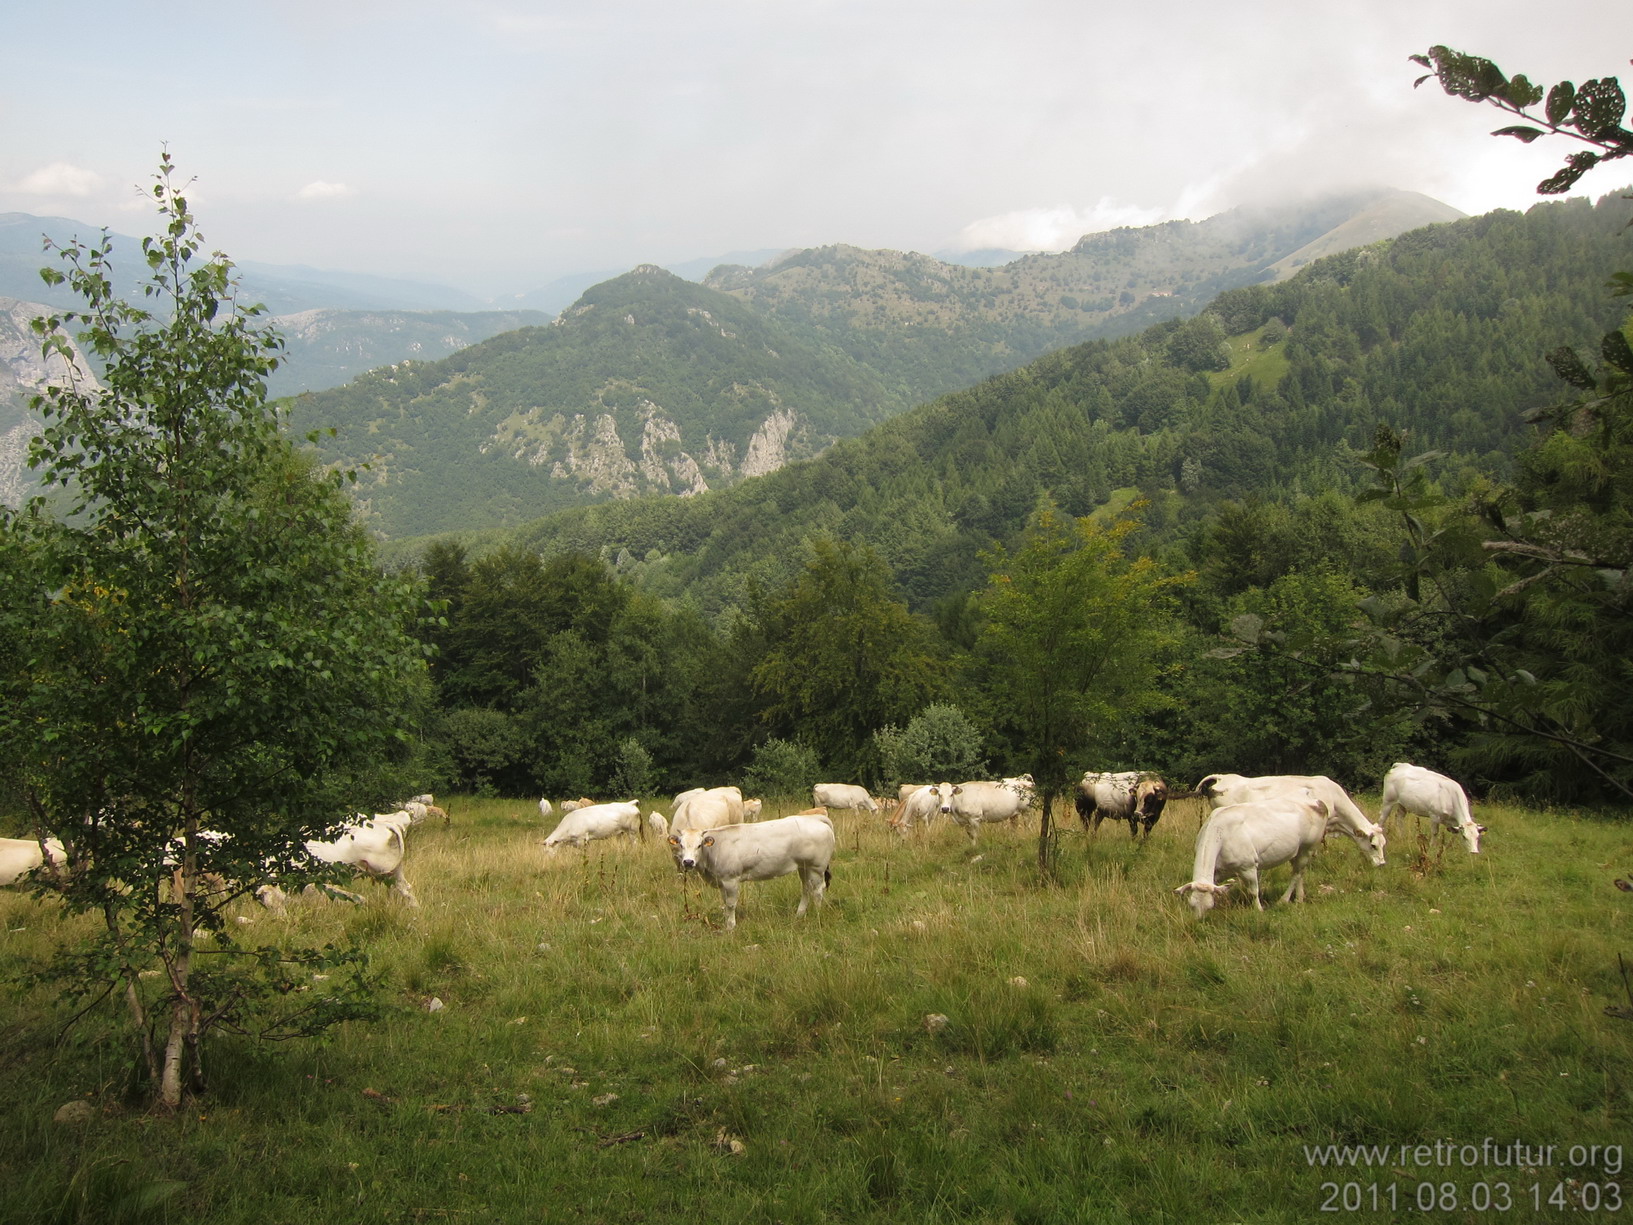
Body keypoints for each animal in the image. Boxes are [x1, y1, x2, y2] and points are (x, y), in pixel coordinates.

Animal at [666, 816, 836, 927]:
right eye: (681, 845)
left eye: (699, 845)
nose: (688, 862)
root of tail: (815, 818)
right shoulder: (721, 881)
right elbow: (725, 902)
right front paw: (726, 921)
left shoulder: (731, 880)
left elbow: (731, 904)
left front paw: (731, 926)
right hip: (804, 867)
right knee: (806, 888)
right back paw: (799, 914)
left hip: (816, 868)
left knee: (817, 891)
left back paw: (817, 915)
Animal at [1175, 797, 1325, 921]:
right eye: (1192, 904)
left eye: (1209, 906)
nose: (1199, 921)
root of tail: (1317, 802)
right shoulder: (1217, 871)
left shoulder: (1248, 867)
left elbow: (1253, 891)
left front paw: (1259, 910)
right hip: (1296, 851)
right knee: (1300, 873)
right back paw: (1299, 898)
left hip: (1308, 848)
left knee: (1296, 874)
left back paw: (1283, 900)